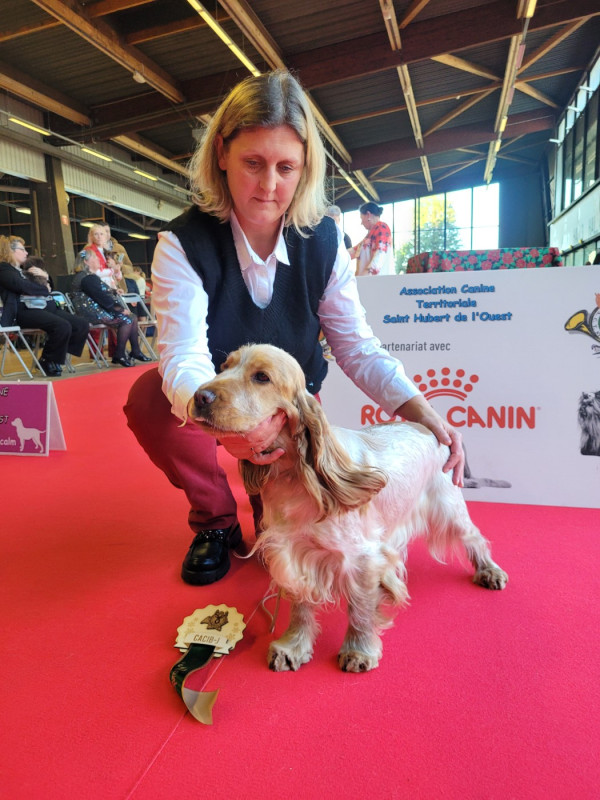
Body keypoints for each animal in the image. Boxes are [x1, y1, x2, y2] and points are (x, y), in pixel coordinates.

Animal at [190, 344, 508, 673]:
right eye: (223, 367)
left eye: (262, 377)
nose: (200, 397)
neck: (294, 475)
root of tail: (430, 427)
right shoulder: (293, 551)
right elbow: (301, 606)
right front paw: (293, 647)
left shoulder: (360, 557)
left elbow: (359, 610)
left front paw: (358, 651)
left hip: (448, 507)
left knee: (474, 537)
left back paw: (489, 571)